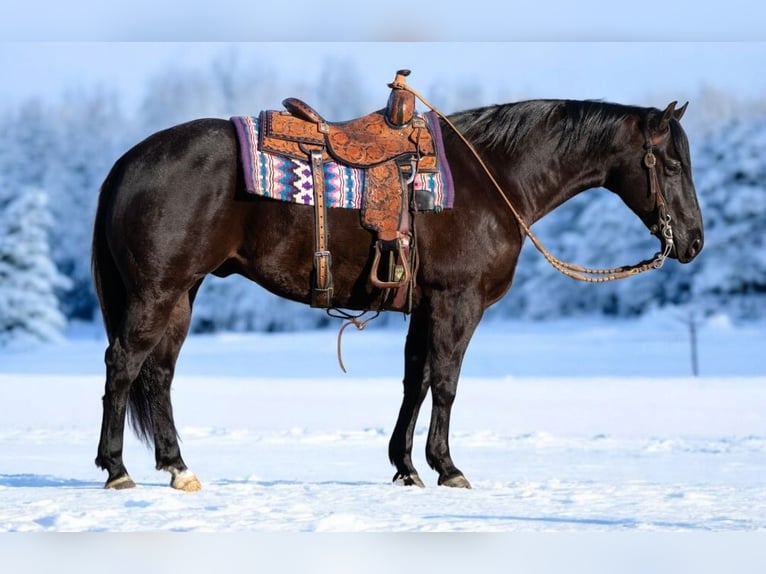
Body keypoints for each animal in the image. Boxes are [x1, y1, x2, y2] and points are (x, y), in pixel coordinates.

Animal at [92, 95, 703, 491]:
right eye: (672, 164)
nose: (694, 240)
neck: (493, 178)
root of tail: (127, 162)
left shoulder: (425, 306)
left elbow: (417, 381)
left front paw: (406, 466)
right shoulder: (458, 301)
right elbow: (447, 383)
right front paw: (447, 466)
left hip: (181, 295)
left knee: (158, 374)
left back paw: (177, 466)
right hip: (158, 292)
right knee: (124, 364)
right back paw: (117, 468)